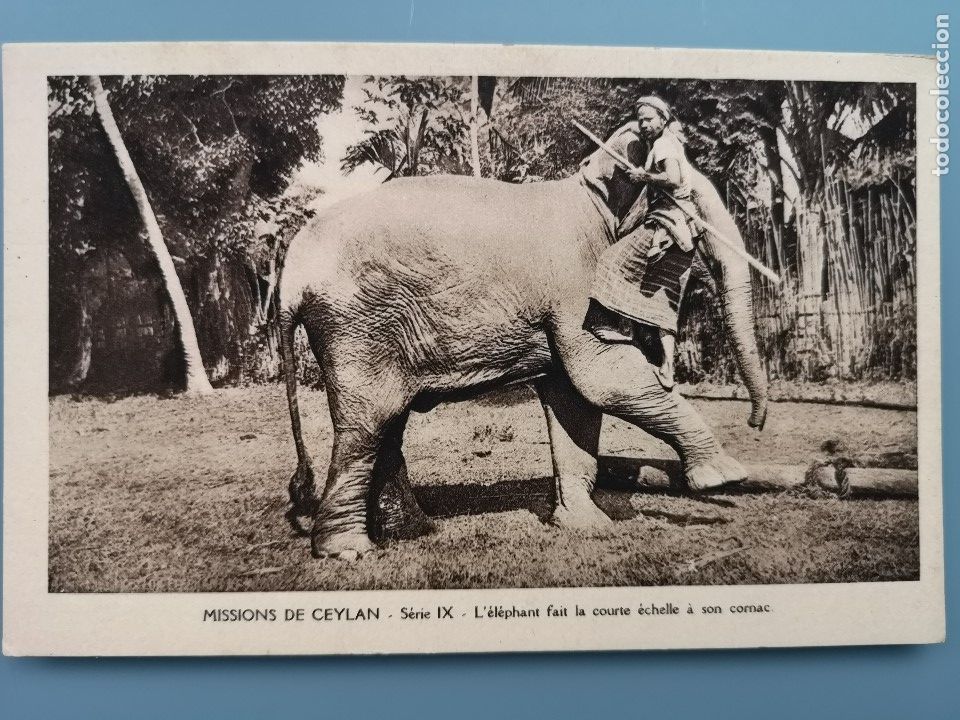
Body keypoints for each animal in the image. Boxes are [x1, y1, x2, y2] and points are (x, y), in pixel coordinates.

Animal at [277, 169, 768, 560]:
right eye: (696, 220)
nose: (754, 423)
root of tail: (287, 278)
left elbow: (574, 399)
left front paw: (586, 527)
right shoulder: (576, 286)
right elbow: (603, 378)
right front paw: (724, 476)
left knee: (387, 424)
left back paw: (413, 532)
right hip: (355, 328)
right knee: (367, 424)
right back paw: (348, 551)